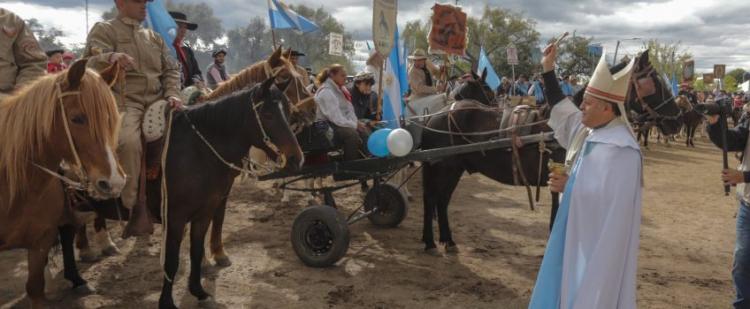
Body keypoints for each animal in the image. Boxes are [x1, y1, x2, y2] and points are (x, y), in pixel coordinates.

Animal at [59, 75, 306, 308]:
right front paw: (167, 302)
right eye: (268, 114)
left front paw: (199, 291)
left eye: (288, 111)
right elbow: (172, 260)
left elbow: (196, 251)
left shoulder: (205, 212)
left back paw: (78, 279)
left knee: (67, 233)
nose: (296, 158)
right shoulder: (175, 218)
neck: (197, 151)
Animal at [420, 50, 684, 253]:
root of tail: (434, 116)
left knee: (441, 200)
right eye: (655, 82)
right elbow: (556, 214)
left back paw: (447, 240)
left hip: (454, 168)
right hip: (443, 166)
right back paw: (431, 242)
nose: (678, 119)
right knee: (432, 198)